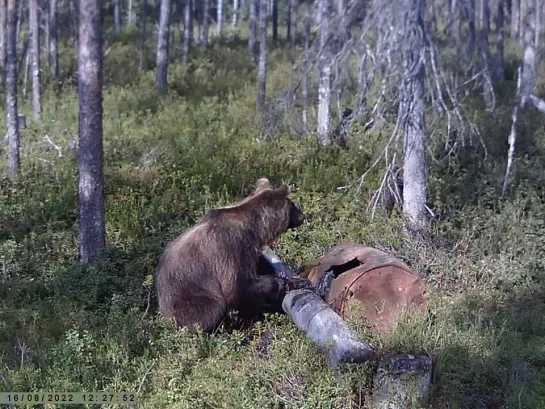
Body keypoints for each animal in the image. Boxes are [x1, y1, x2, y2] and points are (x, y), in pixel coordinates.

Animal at [155, 177, 312, 330]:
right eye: (293, 205)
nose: (303, 216)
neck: (254, 229)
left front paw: (297, 280)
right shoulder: (231, 247)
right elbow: (237, 287)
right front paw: (282, 284)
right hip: (187, 297)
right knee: (211, 309)